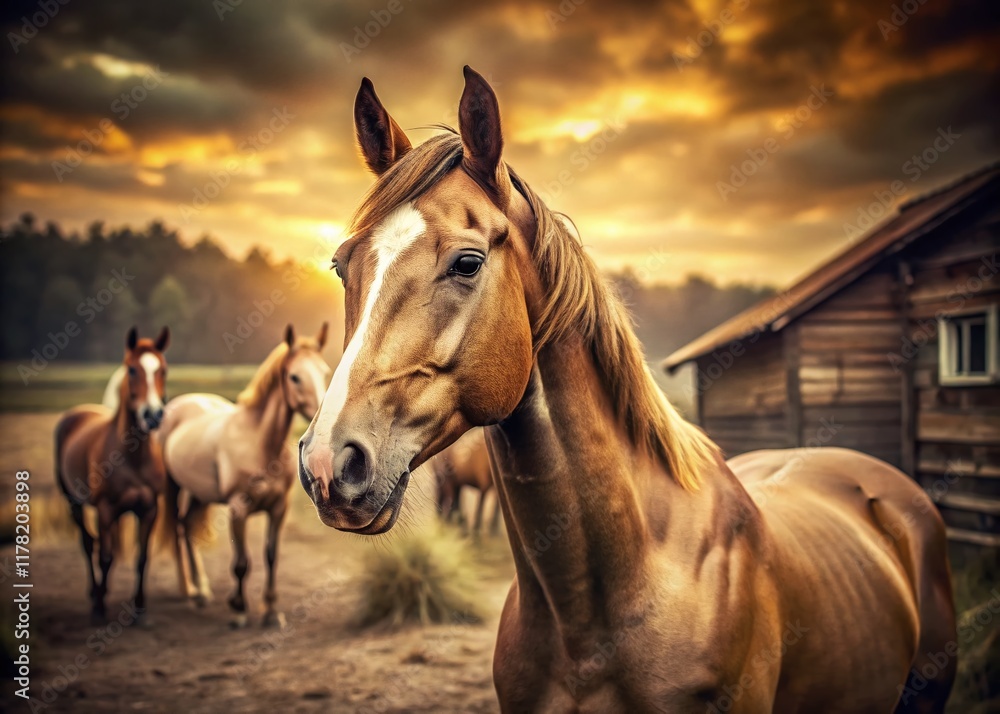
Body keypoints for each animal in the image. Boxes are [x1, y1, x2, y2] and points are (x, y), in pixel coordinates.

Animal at [55, 326, 170, 624]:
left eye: (163, 369)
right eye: (132, 369)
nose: (152, 415)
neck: (132, 457)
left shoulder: (149, 509)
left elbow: (142, 557)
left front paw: (139, 609)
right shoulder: (105, 509)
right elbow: (104, 557)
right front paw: (99, 607)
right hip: (73, 502)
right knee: (88, 544)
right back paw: (94, 593)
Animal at [157, 324, 331, 627]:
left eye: (324, 372)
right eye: (294, 377)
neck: (258, 442)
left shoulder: (278, 508)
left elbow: (271, 556)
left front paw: (271, 612)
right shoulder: (238, 508)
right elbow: (241, 562)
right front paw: (238, 610)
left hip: (200, 495)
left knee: (187, 526)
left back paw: (202, 590)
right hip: (173, 487)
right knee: (177, 528)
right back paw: (191, 591)